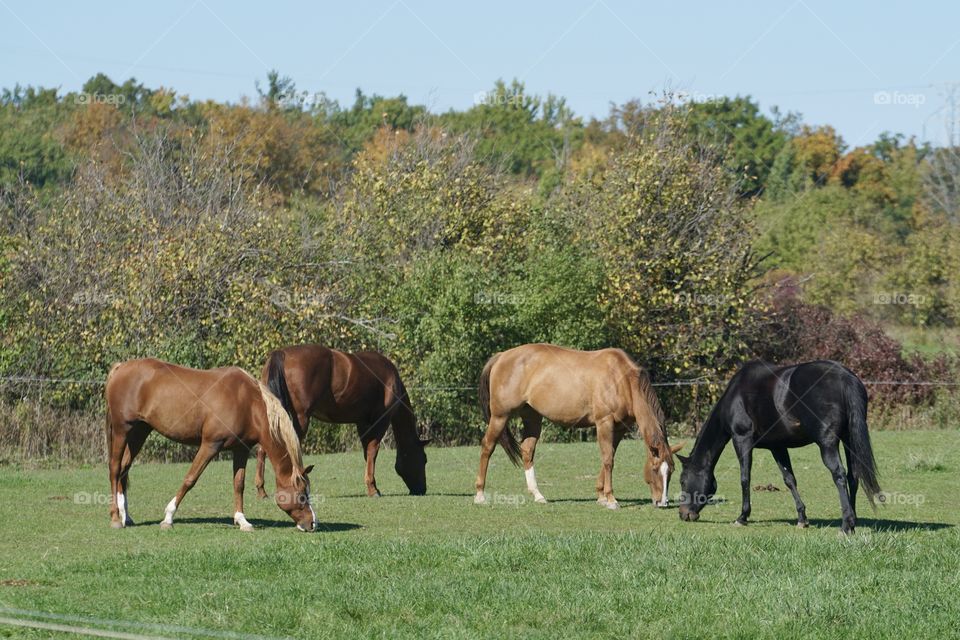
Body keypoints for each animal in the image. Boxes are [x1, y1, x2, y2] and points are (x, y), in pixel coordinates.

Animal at [105, 358, 316, 532]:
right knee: (115, 468)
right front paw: (168, 517)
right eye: (301, 495)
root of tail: (120, 368)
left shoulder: (240, 449)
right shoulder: (210, 445)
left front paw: (242, 521)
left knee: (124, 469)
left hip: (139, 431)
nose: (313, 524)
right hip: (122, 430)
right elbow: (190, 479)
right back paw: (116, 518)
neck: (246, 402)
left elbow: (238, 483)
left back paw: (127, 517)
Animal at [254, 345, 429, 498]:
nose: (421, 489)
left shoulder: (363, 423)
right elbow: (372, 451)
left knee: (263, 449)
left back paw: (262, 490)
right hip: (300, 419)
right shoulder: (381, 420)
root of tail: (281, 353)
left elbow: (367, 454)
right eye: (424, 459)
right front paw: (373, 489)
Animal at [475, 343, 683, 509]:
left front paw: (601, 495)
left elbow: (609, 457)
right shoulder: (604, 423)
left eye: (671, 470)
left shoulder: (619, 428)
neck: (622, 379)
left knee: (527, 450)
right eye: (655, 469)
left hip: (532, 417)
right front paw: (611, 499)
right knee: (487, 447)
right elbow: (608, 460)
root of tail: (502, 356)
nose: (662, 502)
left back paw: (538, 495)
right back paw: (480, 494)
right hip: (500, 417)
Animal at [677, 360, 881, 534]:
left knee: (839, 475)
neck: (736, 397)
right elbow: (789, 480)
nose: (683, 514)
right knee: (853, 477)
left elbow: (745, 478)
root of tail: (845, 376)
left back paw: (846, 525)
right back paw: (852, 522)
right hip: (849, 439)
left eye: (682, 481)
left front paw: (742, 517)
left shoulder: (742, 440)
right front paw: (802, 519)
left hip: (828, 444)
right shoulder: (778, 447)